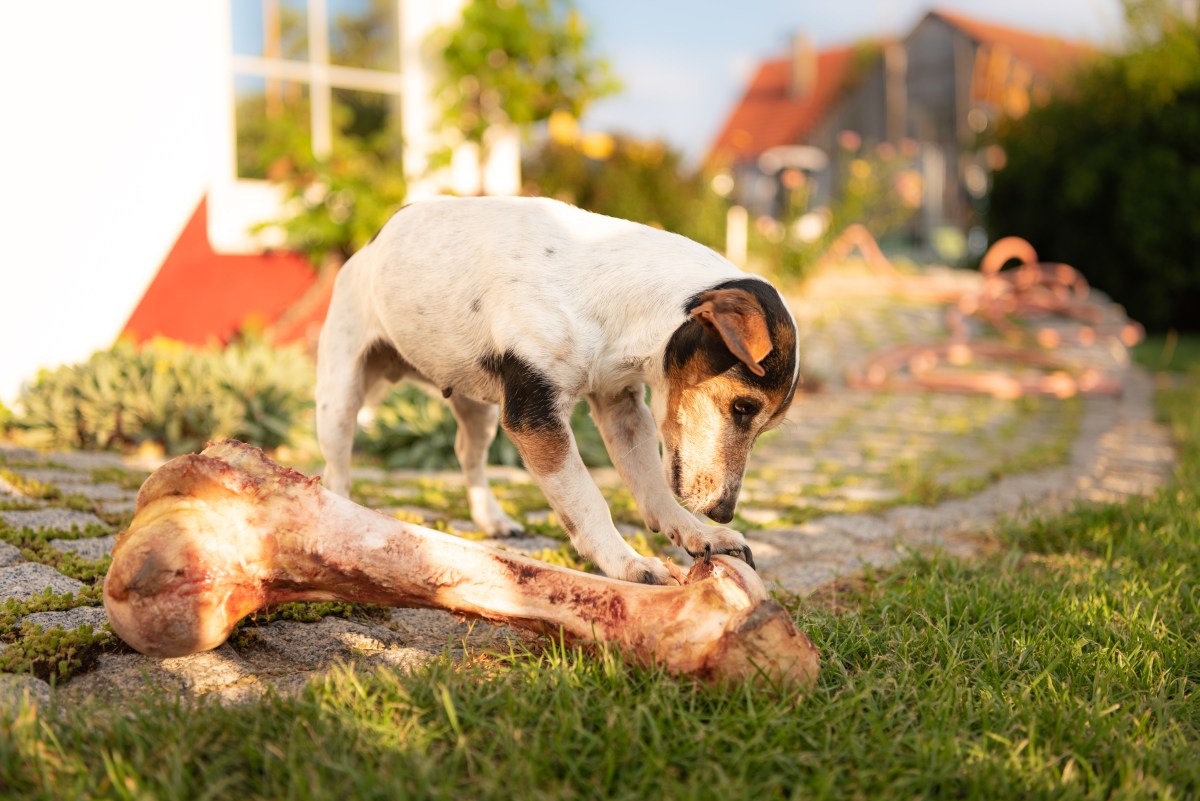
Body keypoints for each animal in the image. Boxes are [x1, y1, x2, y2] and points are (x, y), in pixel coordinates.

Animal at [319, 194, 801, 582]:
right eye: (742, 407)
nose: (724, 511)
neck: (615, 295)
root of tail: (367, 246)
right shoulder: (536, 416)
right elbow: (587, 500)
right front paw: (626, 562)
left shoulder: (621, 408)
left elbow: (651, 486)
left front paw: (698, 533)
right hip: (340, 398)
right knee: (336, 469)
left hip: (480, 408)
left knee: (467, 455)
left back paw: (492, 519)